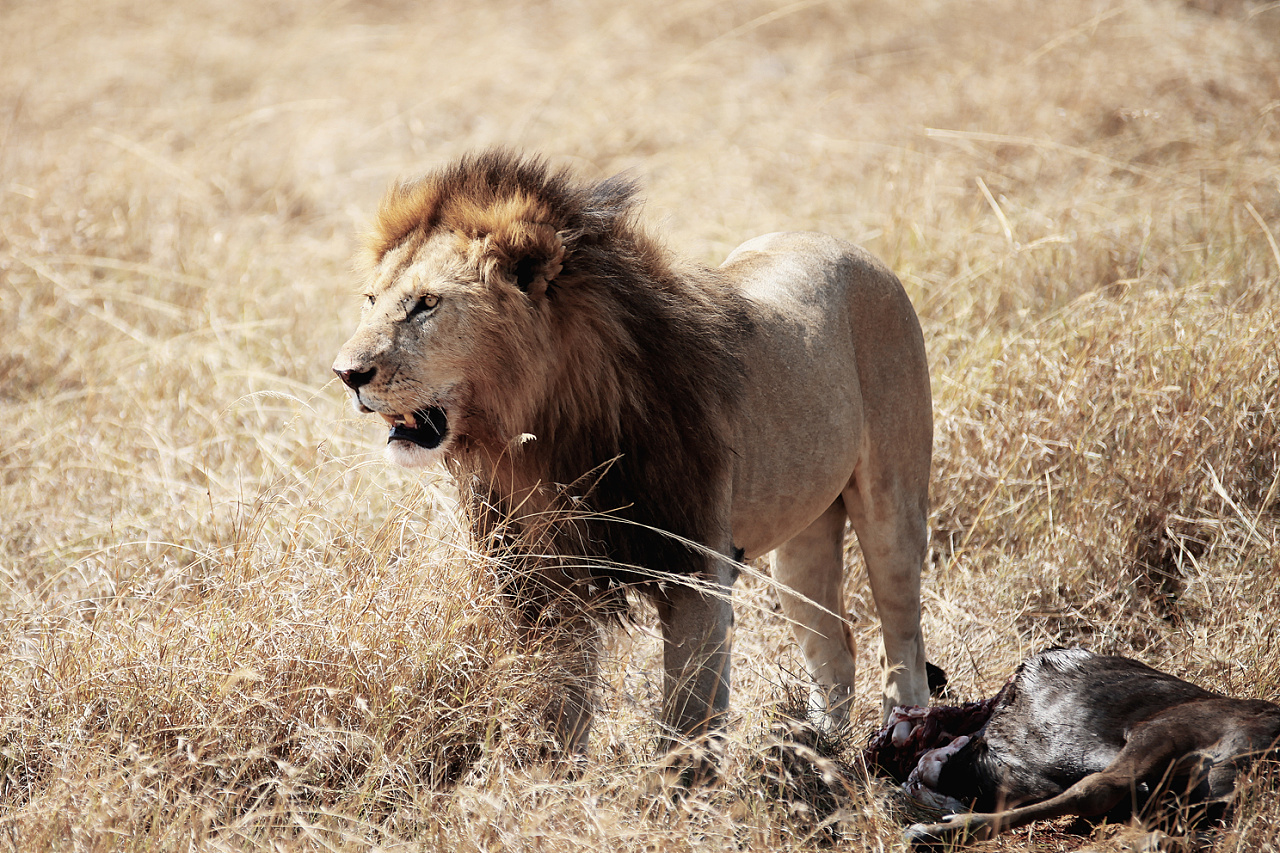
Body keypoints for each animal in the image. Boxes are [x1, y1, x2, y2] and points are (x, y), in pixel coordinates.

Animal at [330, 149, 931, 758]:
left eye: (427, 304)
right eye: (371, 300)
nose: (345, 374)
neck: (540, 437)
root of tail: (845, 246)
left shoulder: (694, 571)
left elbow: (689, 721)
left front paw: (679, 783)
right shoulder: (541, 582)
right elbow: (557, 703)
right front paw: (549, 776)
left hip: (893, 504)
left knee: (902, 638)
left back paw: (900, 744)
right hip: (802, 537)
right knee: (836, 644)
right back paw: (818, 748)